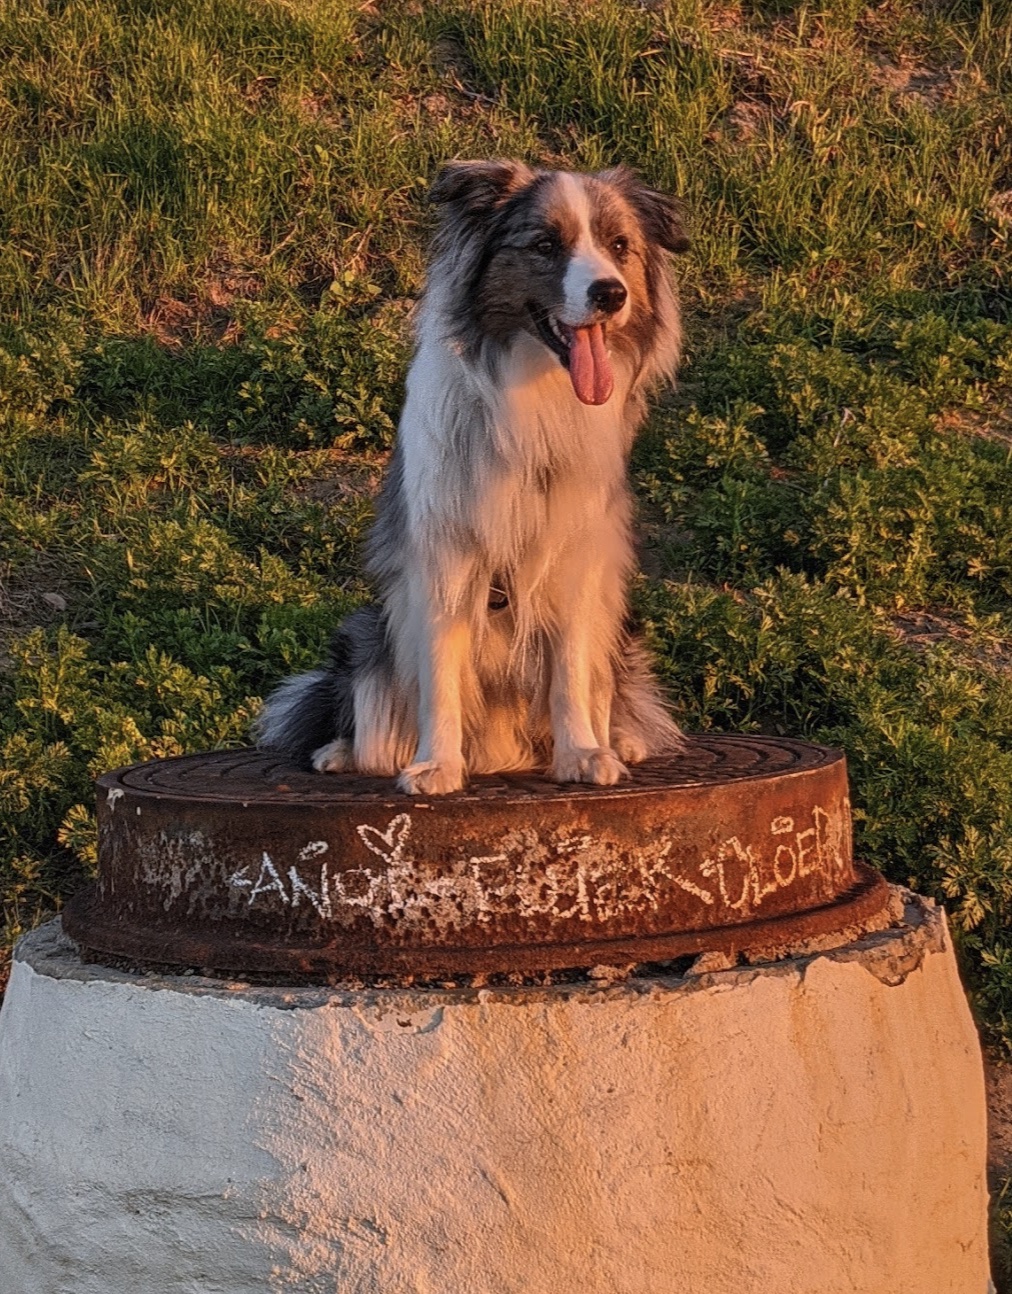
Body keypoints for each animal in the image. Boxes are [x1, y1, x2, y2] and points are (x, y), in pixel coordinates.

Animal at [257, 159, 693, 786]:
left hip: (620, 627)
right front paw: (436, 764)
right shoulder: (444, 555)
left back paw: (621, 740)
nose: (612, 293)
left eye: (619, 246)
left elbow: (571, 672)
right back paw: (342, 751)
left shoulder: (576, 557)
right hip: (367, 629)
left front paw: (583, 753)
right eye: (544, 244)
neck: (535, 397)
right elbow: (440, 676)